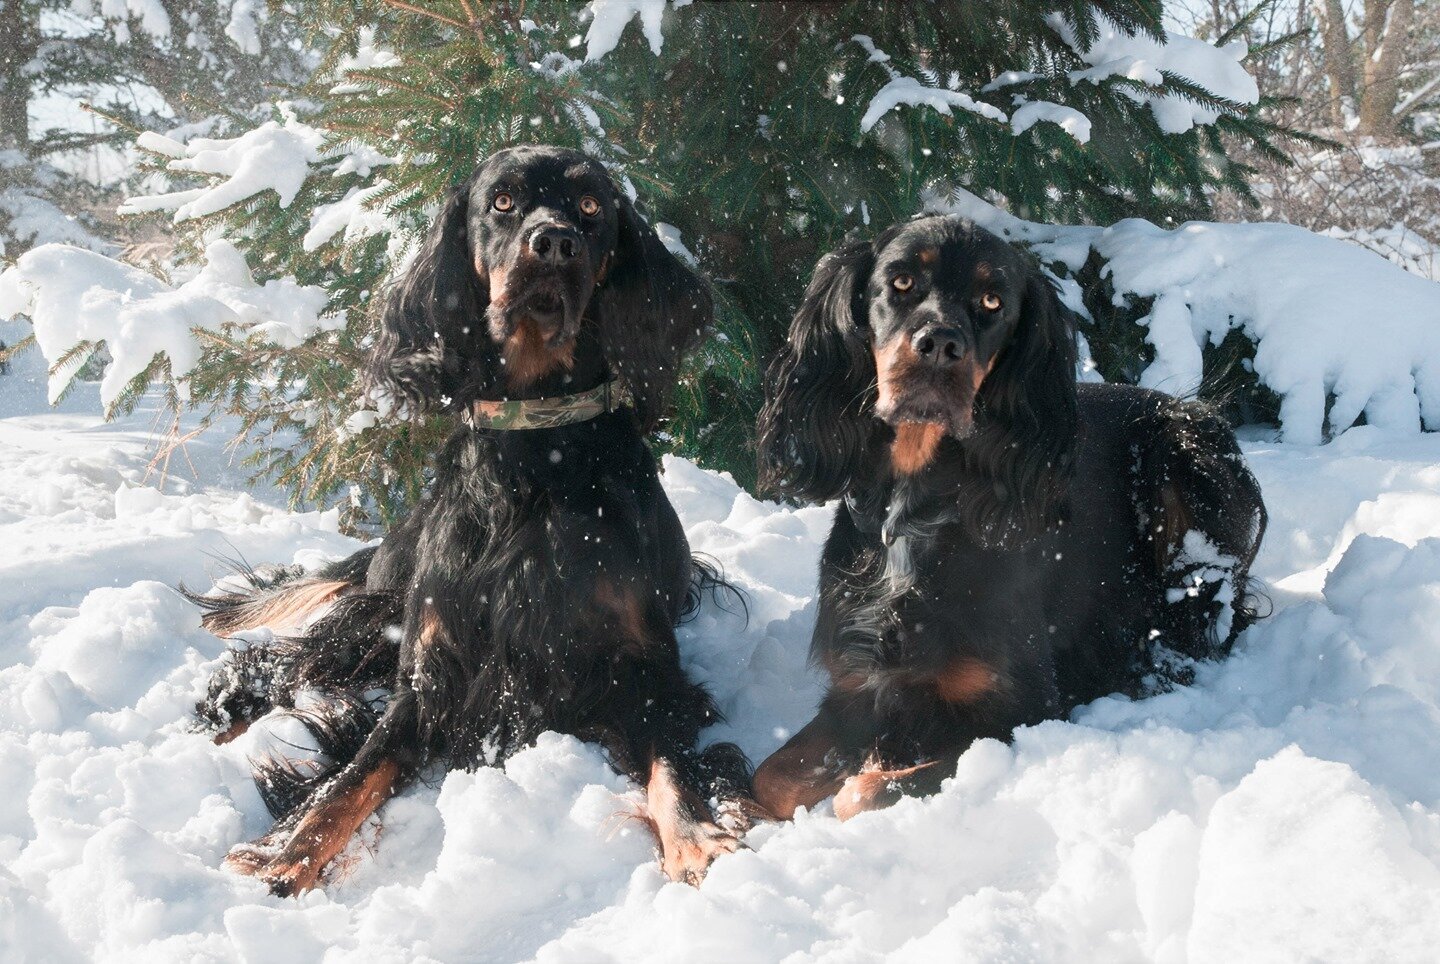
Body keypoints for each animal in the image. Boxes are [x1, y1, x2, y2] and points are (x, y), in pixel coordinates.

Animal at [190, 146, 748, 893]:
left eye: (592, 208)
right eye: (503, 202)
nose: (554, 244)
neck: (538, 452)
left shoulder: (646, 669)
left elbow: (672, 765)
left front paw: (697, 840)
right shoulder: (433, 668)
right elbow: (352, 775)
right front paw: (286, 854)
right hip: (384, 607)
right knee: (295, 657)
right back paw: (227, 708)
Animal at [754, 214, 1261, 818]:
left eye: (992, 300)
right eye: (900, 282)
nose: (939, 346)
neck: (917, 509)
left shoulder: (1022, 708)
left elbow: (863, 793)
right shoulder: (859, 683)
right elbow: (771, 776)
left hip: (1187, 444)